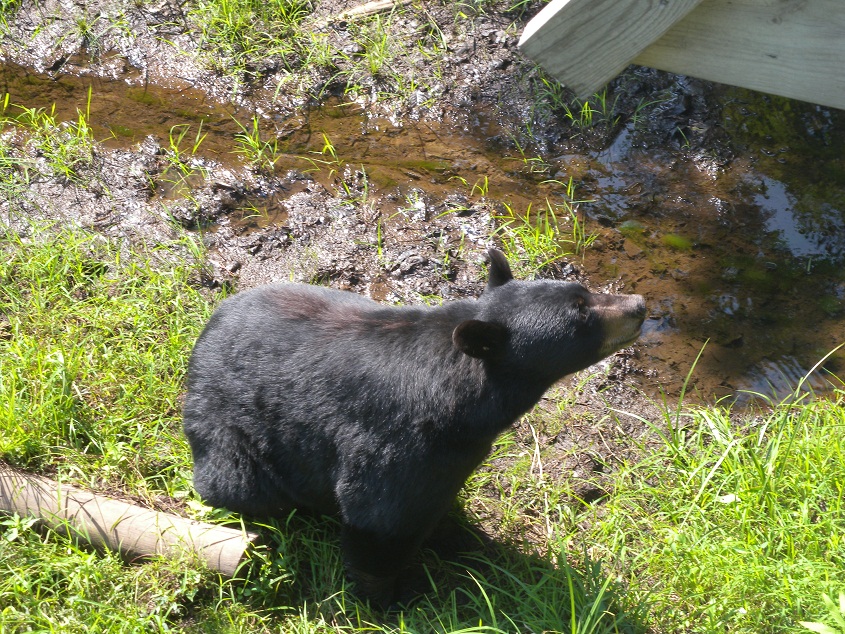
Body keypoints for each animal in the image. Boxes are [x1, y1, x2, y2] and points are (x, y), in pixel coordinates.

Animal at [182, 249, 645, 604]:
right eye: (581, 314)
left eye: (584, 292)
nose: (639, 305)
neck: (465, 404)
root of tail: (202, 341)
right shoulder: (395, 441)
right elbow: (378, 516)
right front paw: (392, 597)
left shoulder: (453, 455)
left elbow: (436, 502)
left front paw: (468, 540)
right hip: (232, 440)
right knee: (237, 484)